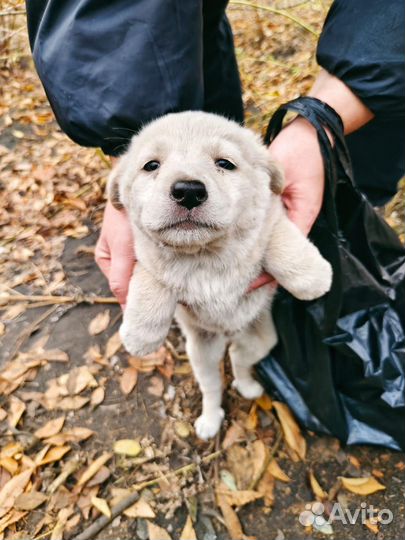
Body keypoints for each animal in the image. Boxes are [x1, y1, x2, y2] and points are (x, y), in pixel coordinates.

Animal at [108, 109, 332, 438]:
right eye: (151, 166)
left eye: (225, 163)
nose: (188, 191)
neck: (204, 256)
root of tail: (228, 334)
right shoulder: (146, 256)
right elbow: (150, 282)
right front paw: (140, 334)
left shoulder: (272, 217)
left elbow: (280, 240)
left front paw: (313, 277)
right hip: (202, 353)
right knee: (212, 387)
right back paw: (210, 420)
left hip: (261, 340)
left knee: (239, 360)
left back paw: (248, 386)